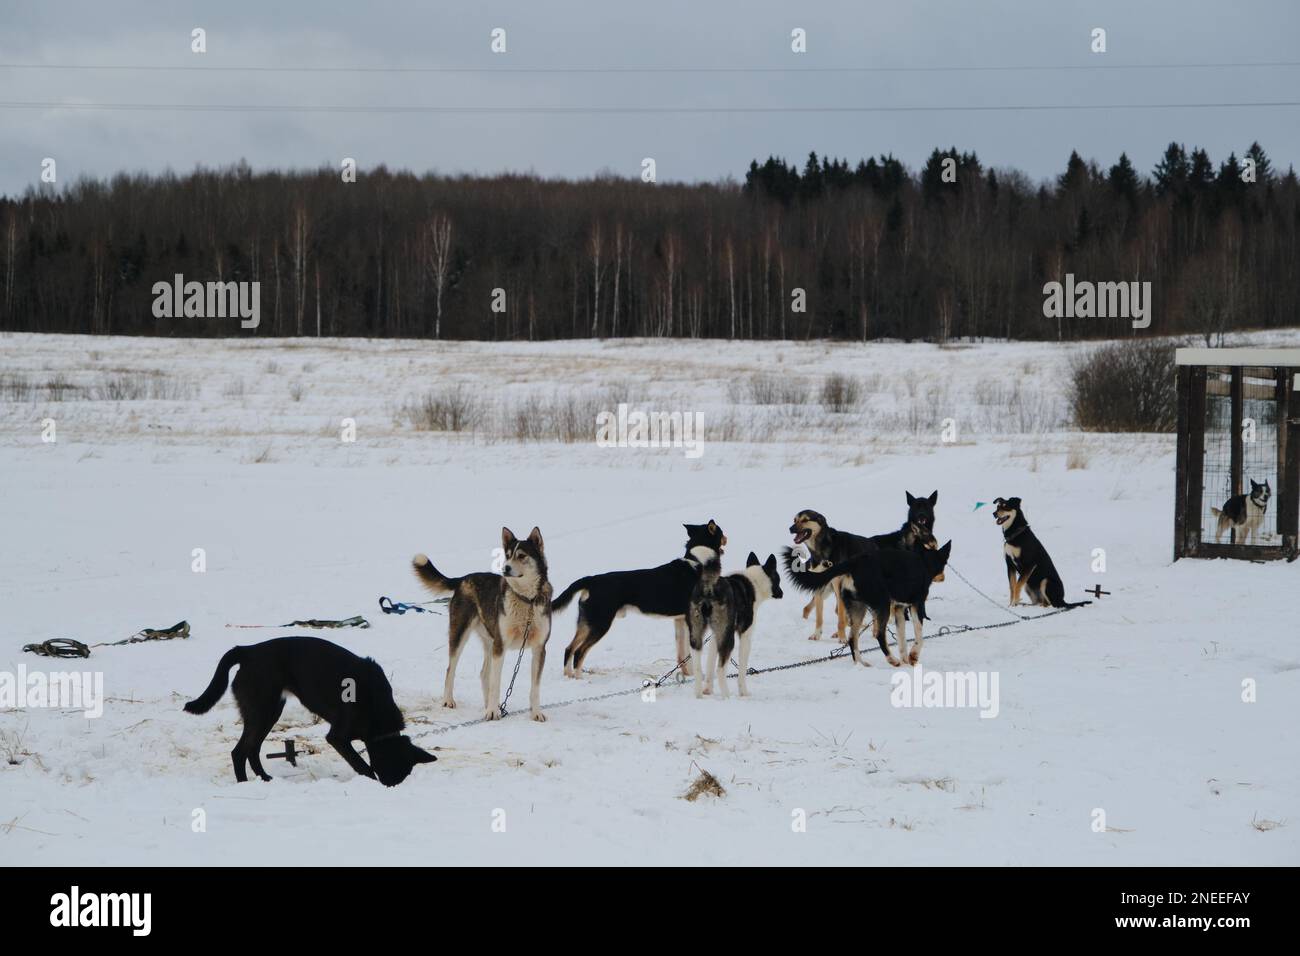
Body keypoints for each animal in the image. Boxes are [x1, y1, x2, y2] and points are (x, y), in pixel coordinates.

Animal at [183, 639, 436, 790]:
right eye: (392, 767)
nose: (390, 787)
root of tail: (248, 651)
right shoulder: (337, 737)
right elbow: (362, 765)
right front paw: (369, 780)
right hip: (262, 710)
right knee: (239, 752)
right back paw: (246, 785)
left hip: (270, 711)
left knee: (252, 750)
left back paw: (265, 780)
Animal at [691, 548, 780, 697]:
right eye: (778, 579)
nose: (781, 593)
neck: (754, 582)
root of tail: (710, 588)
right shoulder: (745, 636)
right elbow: (742, 670)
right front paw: (743, 692)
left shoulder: (715, 636)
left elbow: (709, 665)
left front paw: (708, 690)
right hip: (729, 638)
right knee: (720, 669)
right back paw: (726, 696)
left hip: (697, 635)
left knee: (698, 668)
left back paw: (698, 695)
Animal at [1180, 348, 1300, 561]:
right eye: (1259, 490)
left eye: (1267, 490)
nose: (1265, 496)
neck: (1257, 507)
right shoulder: (1244, 525)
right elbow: (1240, 541)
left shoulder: (1253, 528)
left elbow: (1252, 541)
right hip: (1226, 523)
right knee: (1221, 536)